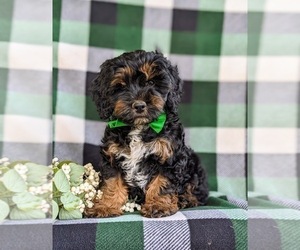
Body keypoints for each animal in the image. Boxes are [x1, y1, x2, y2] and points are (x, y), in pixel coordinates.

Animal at [86, 49, 209, 218]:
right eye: (122, 86)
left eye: (151, 83)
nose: (139, 105)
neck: (140, 126)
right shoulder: (112, 156)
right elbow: (112, 183)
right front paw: (106, 206)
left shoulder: (170, 157)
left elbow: (162, 183)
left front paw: (158, 205)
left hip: (194, 165)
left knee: (196, 190)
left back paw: (186, 200)